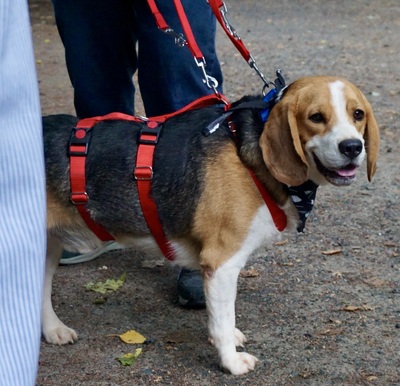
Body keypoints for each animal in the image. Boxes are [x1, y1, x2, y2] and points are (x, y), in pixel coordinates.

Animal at [42, 75, 380, 374]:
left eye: (358, 114)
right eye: (316, 117)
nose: (352, 147)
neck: (249, 149)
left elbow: (223, 315)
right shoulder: (222, 263)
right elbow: (222, 319)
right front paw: (230, 361)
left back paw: (53, 329)